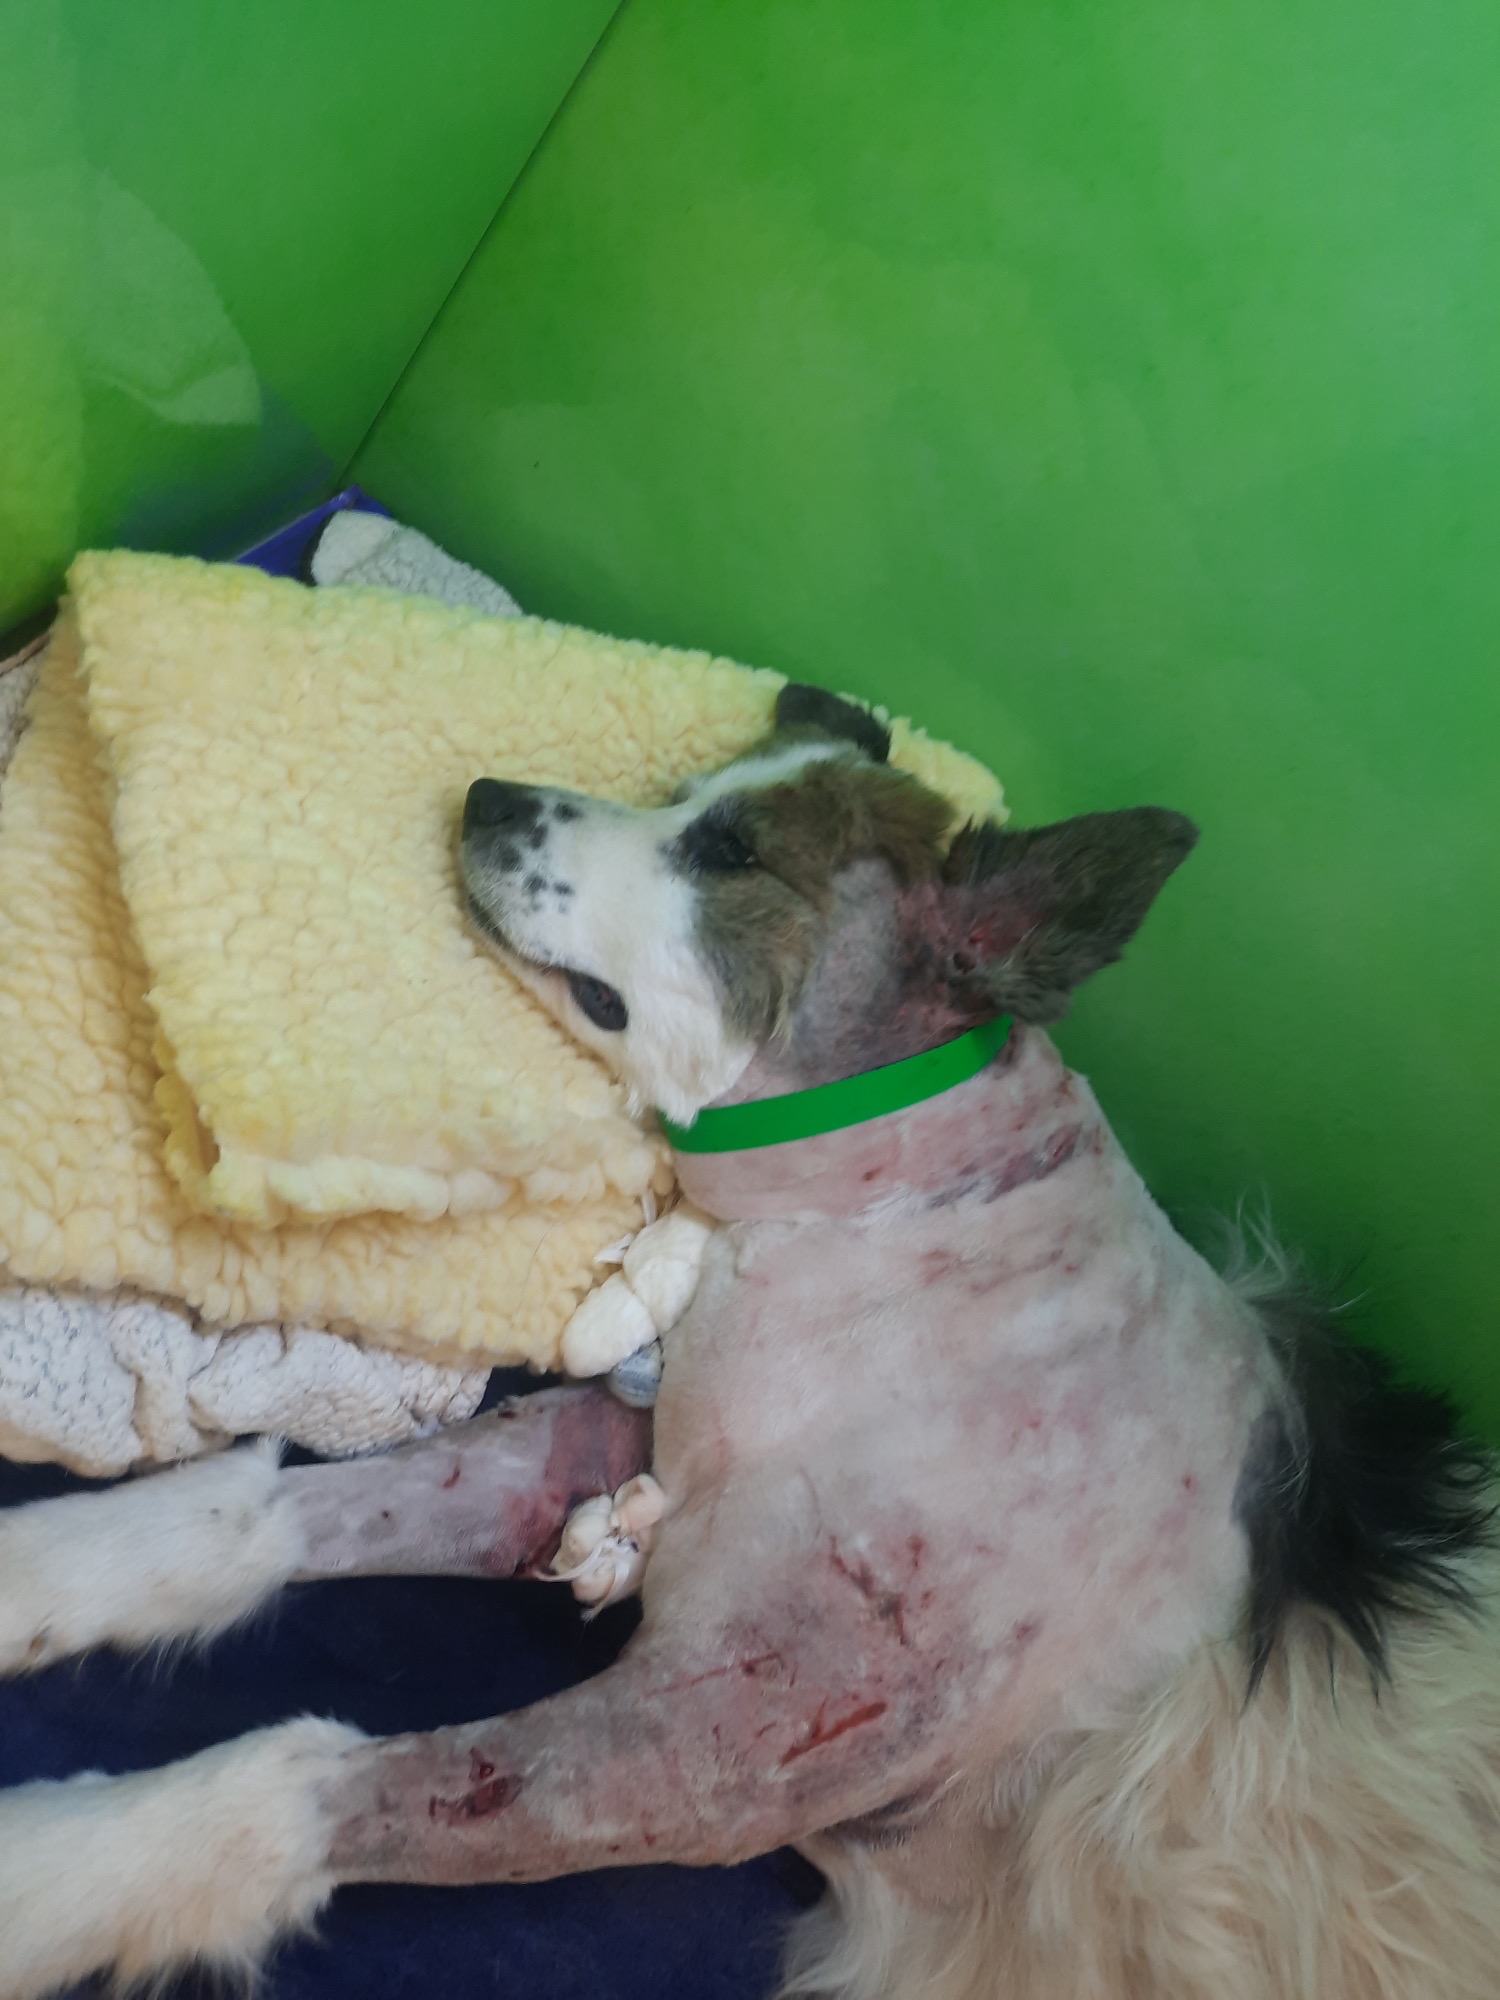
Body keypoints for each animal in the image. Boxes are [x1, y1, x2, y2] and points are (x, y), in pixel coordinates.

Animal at [0, 683, 1495, 1999]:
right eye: (682, 791)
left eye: (728, 851)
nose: (487, 796)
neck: (905, 1225)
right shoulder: (610, 1449)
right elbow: (235, 1508)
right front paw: (36, 1580)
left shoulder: (728, 1740)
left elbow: (298, 1774)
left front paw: (59, 1871)